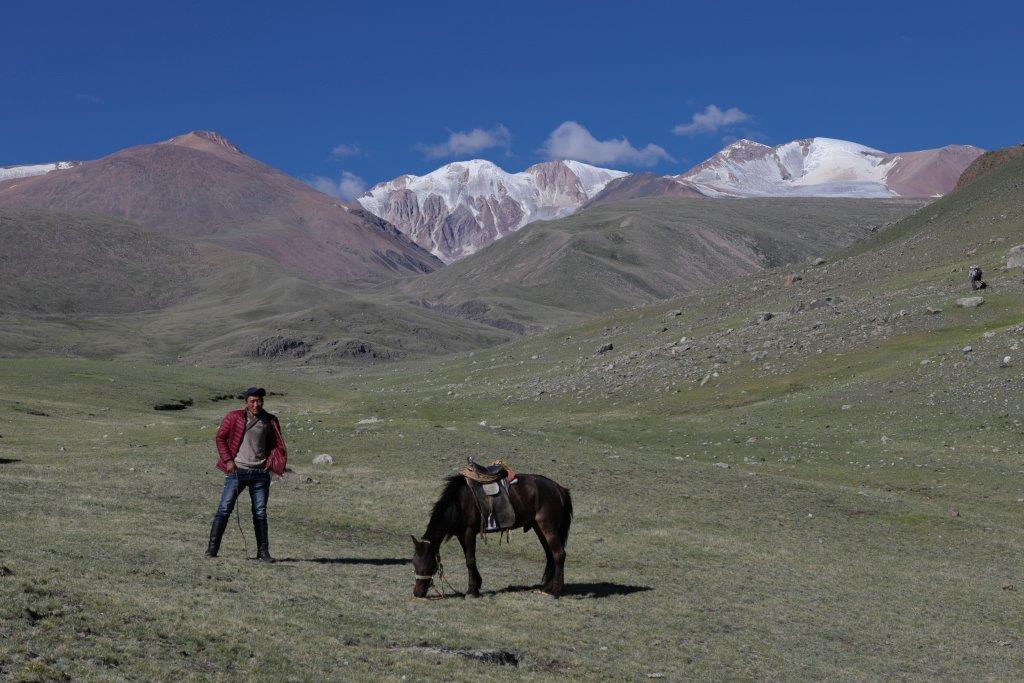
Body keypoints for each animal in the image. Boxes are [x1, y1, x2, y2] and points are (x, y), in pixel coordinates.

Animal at [409, 475, 573, 598]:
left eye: (427, 566)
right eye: (414, 564)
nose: (417, 593)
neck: (459, 501)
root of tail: (558, 488)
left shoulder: (469, 532)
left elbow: (470, 560)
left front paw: (471, 591)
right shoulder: (461, 534)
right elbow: (469, 558)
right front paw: (477, 584)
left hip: (549, 527)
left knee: (559, 554)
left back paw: (555, 592)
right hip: (539, 528)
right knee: (550, 555)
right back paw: (547, 588)